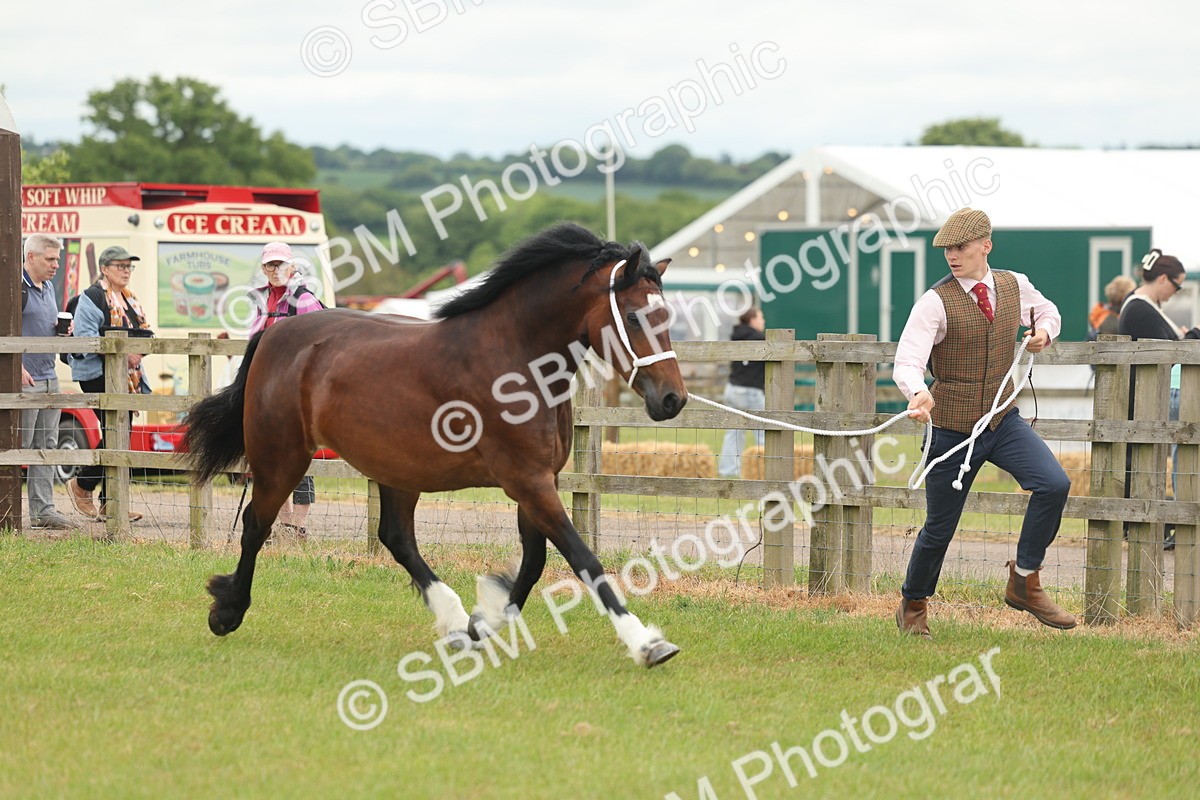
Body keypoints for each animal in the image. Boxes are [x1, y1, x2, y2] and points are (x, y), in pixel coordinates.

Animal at [183, 222, 688, 667]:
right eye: (636, 316)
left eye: (669, 318)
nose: (673, 400)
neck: (515, 358)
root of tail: (276, 333)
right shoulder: (527, 481)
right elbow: (583, 559)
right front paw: (647, 644)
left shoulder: (539, 481)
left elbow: (534, 562)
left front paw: (483, 621)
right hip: (282, 457)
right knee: (256, 524)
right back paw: (227, 611)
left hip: (395, 470)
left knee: (396, 538)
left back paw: (455, 621)